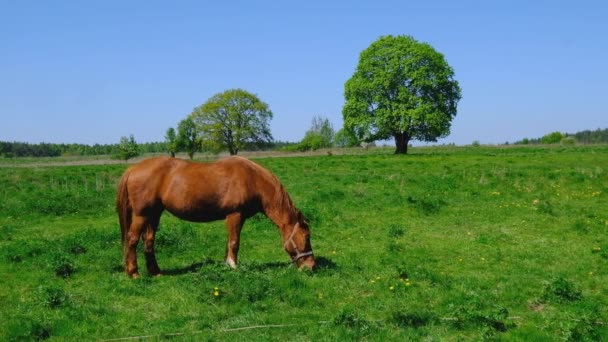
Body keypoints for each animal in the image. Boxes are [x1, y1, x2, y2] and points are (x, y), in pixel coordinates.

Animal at [115, 156, 314, 278]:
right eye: (306, 237)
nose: (311, 266)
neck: (252, 179)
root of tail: (133, 169)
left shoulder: (233, 217)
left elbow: (229, 242)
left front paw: (227, 263)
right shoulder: (236, 215)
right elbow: (234, 242)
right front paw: (233, 266)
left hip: (154, 214)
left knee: (148, 241)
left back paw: (156, 272)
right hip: (141, 215)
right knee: (132, 240)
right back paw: (133, 273)